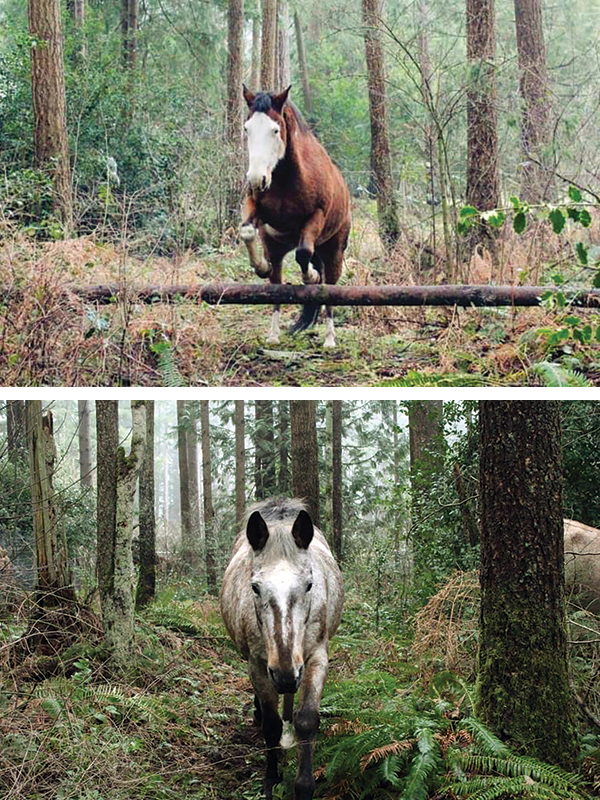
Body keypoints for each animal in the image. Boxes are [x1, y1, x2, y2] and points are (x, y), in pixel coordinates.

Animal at [220, 498, 344, 800]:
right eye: (255, 587)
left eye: (309, 584)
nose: (286, 675)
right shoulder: (258, 664)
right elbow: (271, 725)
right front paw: (271, 779)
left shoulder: (316, 657)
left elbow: (307, 720)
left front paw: (304, 785)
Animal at [239, 85, 351, 348]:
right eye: (247, 128)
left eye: (275, 129)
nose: (256, 179)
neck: (284, 179)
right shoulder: (255, 208)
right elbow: (247, 231)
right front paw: (261, 266)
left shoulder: (315, 217)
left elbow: (303, 254)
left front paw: (311, 276)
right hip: (276, 246)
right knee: (276, 286)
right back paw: (273, 335)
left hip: (333, 251)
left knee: (329, 289)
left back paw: (330, 338)